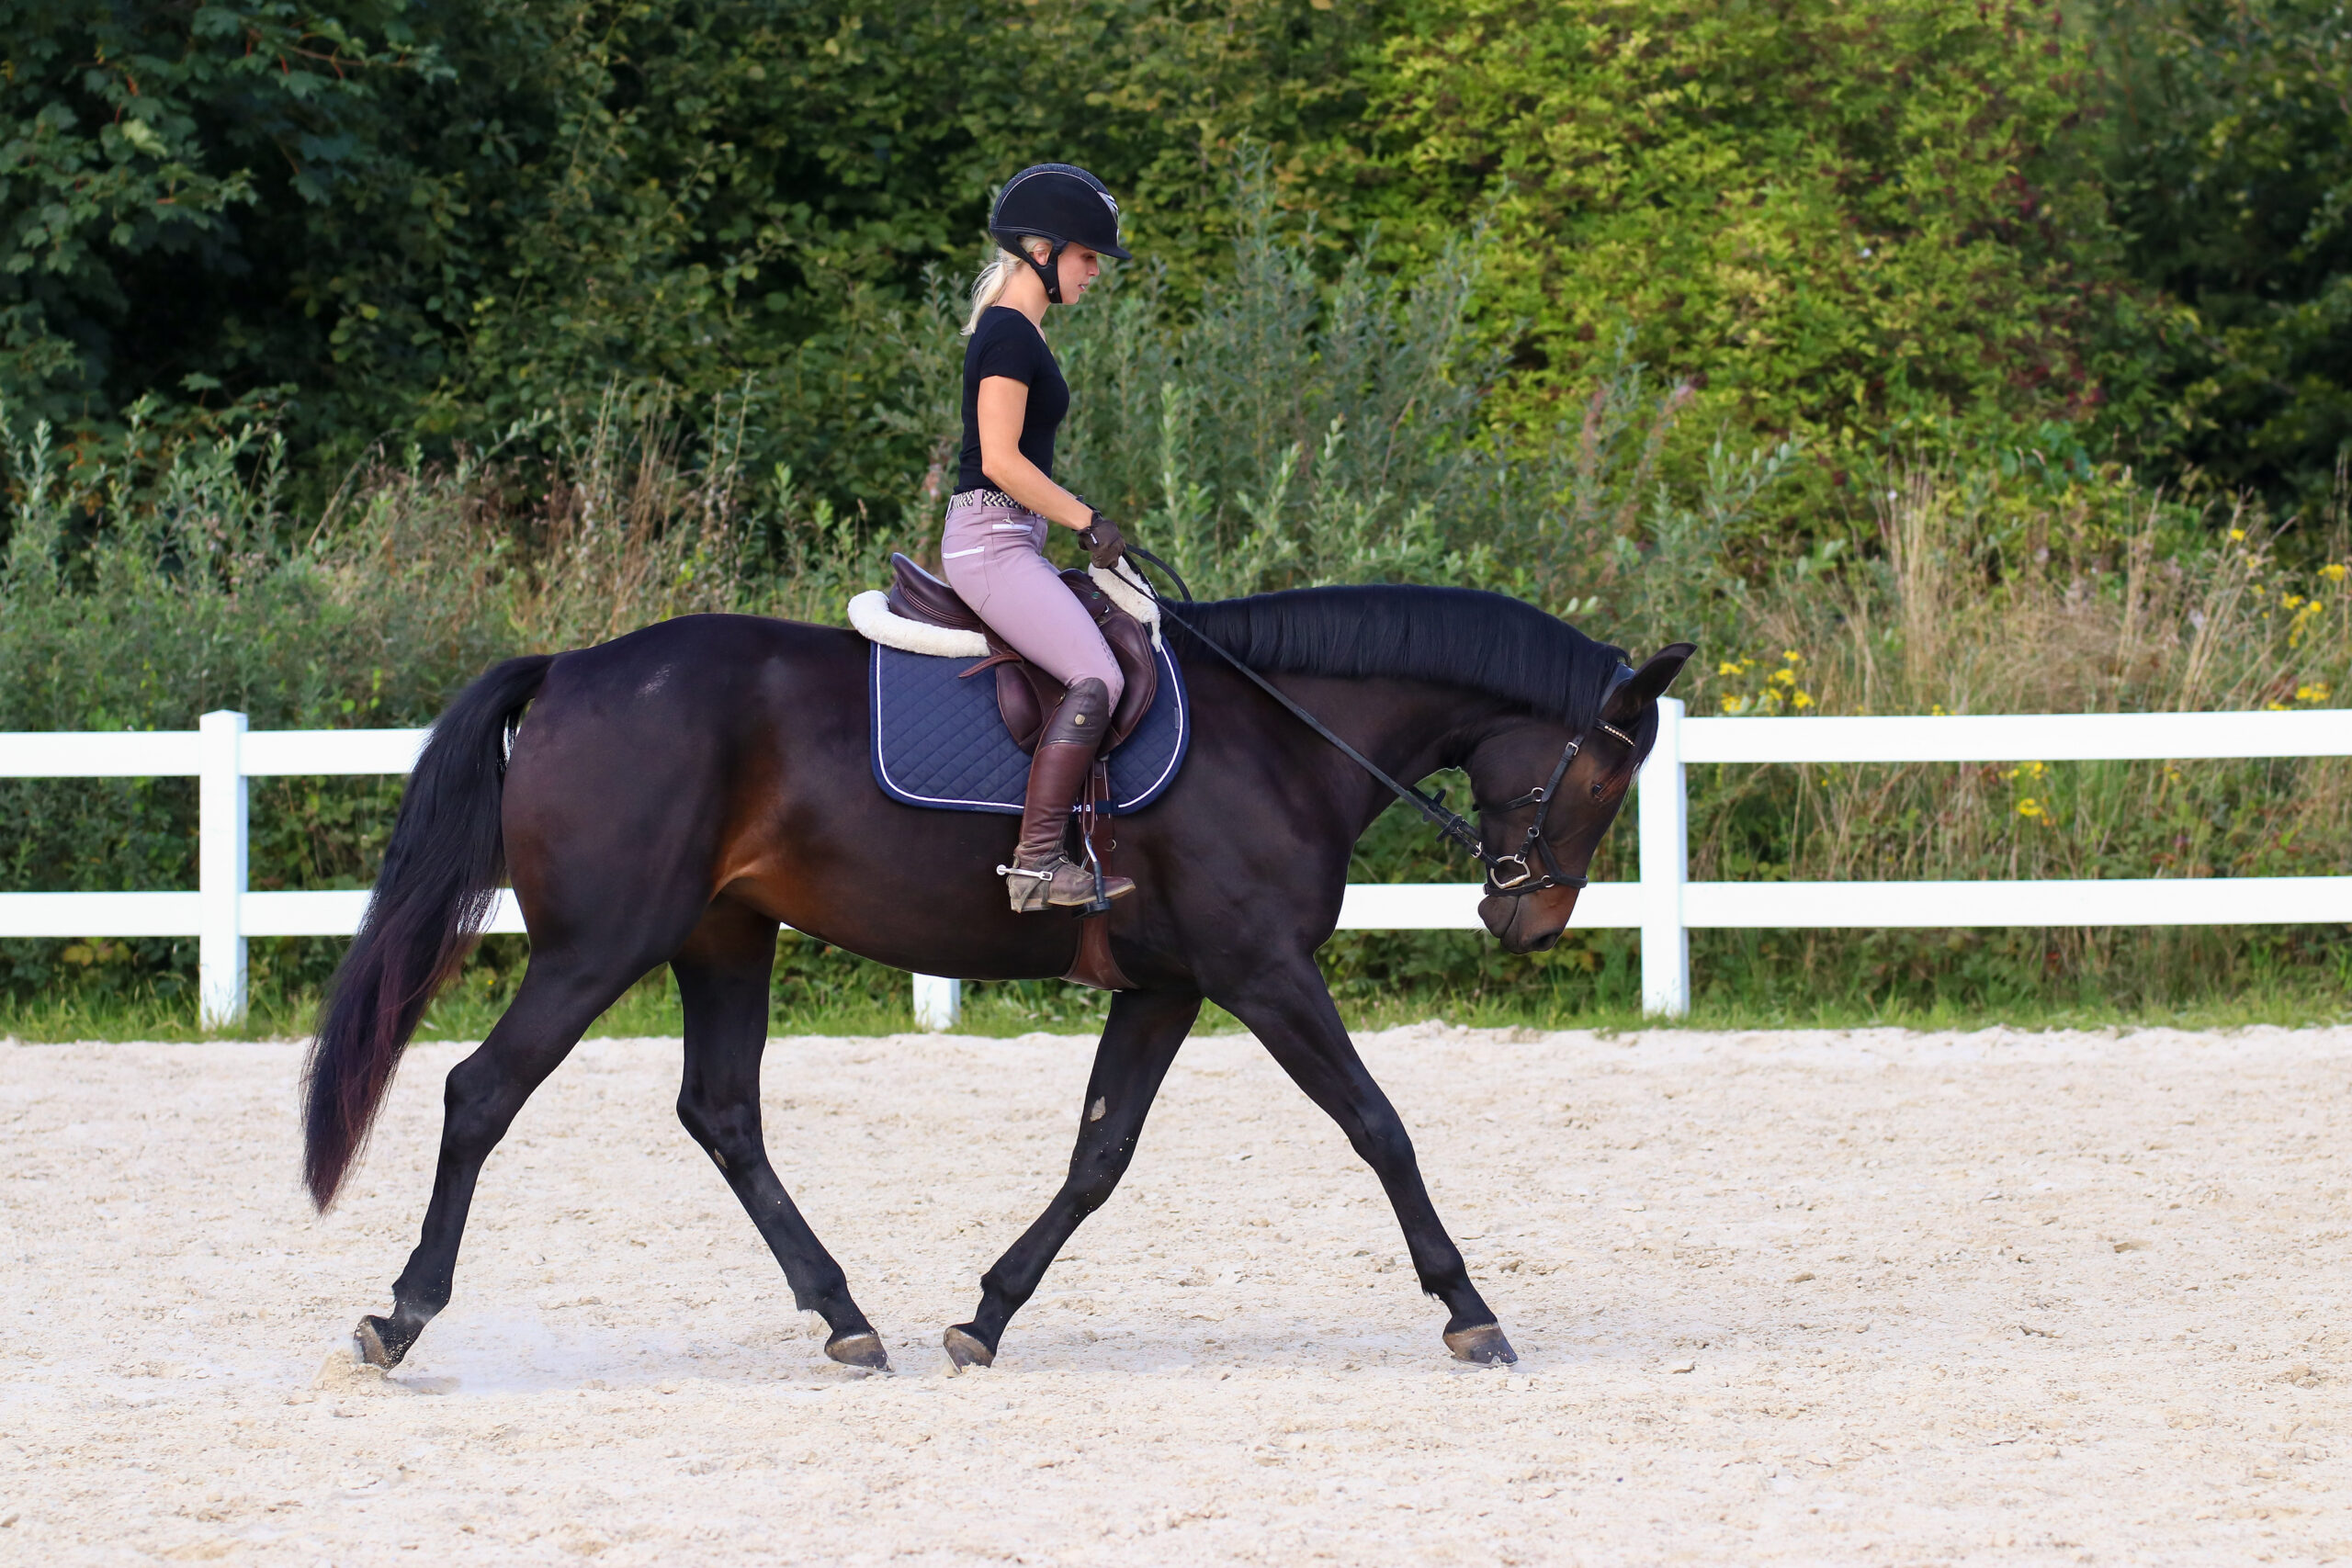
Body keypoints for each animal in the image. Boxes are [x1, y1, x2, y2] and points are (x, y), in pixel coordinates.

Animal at [302, 583, 1692, 1374]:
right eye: (1602, 774)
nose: (1530, 918)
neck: (1282, 732)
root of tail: (573, 669)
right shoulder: (1261, 969)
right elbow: (1378, 1124)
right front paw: (1468, 1308)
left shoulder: (1168, 985)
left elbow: (1099, 1153)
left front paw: (989, 1314)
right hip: (603, 944)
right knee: (482, 1093)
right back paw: (401, 1313)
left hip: (723, 937)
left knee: (723, 1113)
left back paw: (844, 1315)